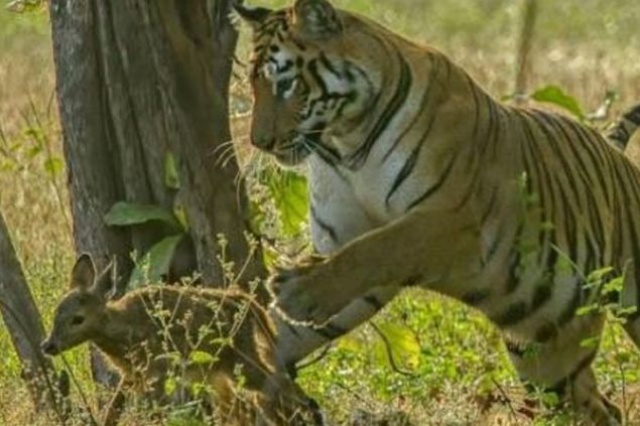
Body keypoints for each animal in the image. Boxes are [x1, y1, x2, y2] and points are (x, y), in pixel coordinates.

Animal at [40, 255, 320, 424]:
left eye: (78, 319)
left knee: (283, 391)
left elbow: (156, 412)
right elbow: (113, 409)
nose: (48, 345)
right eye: (56, 312)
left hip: (240, 361)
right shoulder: (133, 375)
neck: (124, 333)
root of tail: (246, 303)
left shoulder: (157, 371)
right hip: (220, 371)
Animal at [234, 0, 640, 422]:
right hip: (542, 349)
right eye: (253, 85)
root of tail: (614, 150)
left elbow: (377, 248)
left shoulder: (455, 220)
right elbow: (310, 305)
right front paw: (248, 363)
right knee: (597, 407)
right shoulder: (344, 240)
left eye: (286, 84)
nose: (259, 142)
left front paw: (296, 291)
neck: (347, 144)